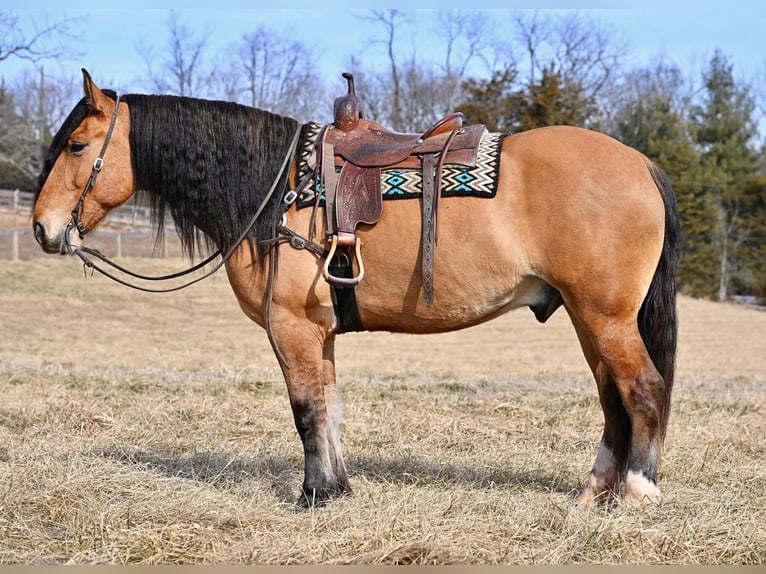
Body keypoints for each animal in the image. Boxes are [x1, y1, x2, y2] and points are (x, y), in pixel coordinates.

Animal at [31, 71, 684, 508]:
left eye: (77, 146)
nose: (42, 228)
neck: (277, 193)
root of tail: (641, 165)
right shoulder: (317, 331)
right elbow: (330, 406)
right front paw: (338, 487)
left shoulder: (290, 326)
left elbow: (305, 410)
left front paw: (314, 495)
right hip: (586, 317)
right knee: (613, 398)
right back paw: (594, 493)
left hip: (605, 316)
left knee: (643, 390)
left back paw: (638, 492)